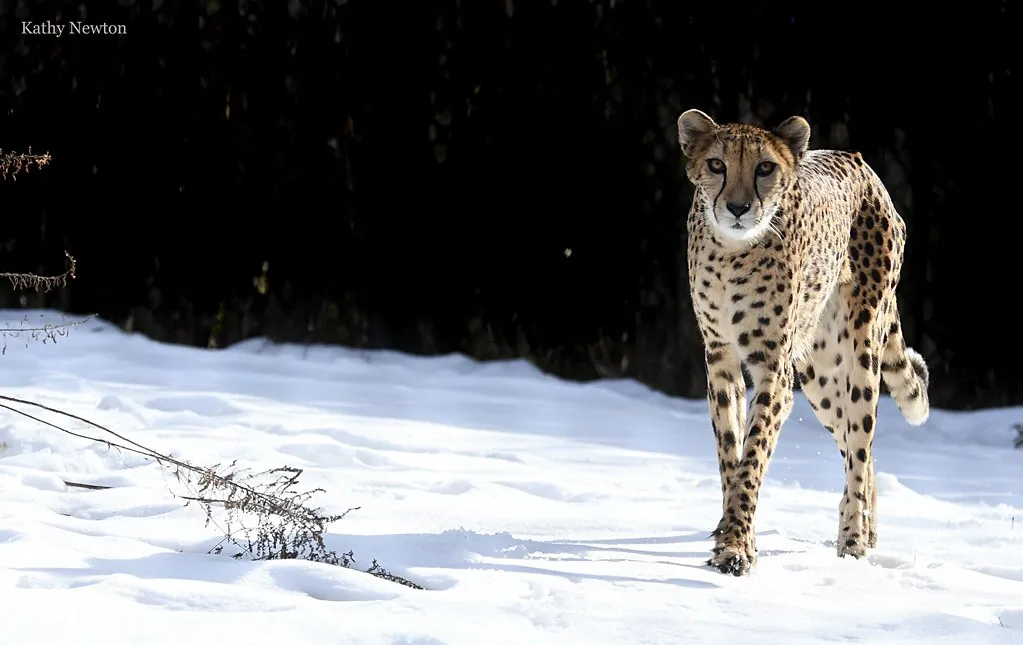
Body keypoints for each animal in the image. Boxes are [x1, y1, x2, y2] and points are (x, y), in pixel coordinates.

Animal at [676, 108, 930, 577]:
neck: (731, 251)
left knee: (860, 446)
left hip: (861, 349)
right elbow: (731, 454)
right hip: (819, 372)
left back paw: (854, 542)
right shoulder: (720, 357)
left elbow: (753, 457)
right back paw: (867, 529)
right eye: (717, 164)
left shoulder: (773, 368)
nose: (737, 207)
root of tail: (859, 161)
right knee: (856, 448)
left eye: (765, 168)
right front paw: (734, 540)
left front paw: (735, 545)